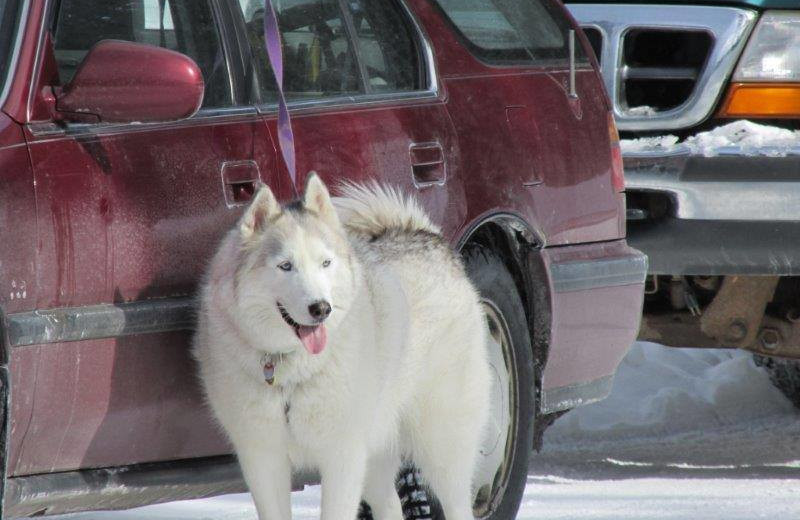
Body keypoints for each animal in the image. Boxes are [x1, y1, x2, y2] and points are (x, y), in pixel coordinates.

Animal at [197, 175, 490, 520]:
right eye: (286, 266)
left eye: (326, 263)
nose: (321, 308)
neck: (289, 374)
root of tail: (426, 236)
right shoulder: (263, 459)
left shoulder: (342, 456)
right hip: (377, 453)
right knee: (391, 505)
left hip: (441, 444)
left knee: (457, 502)